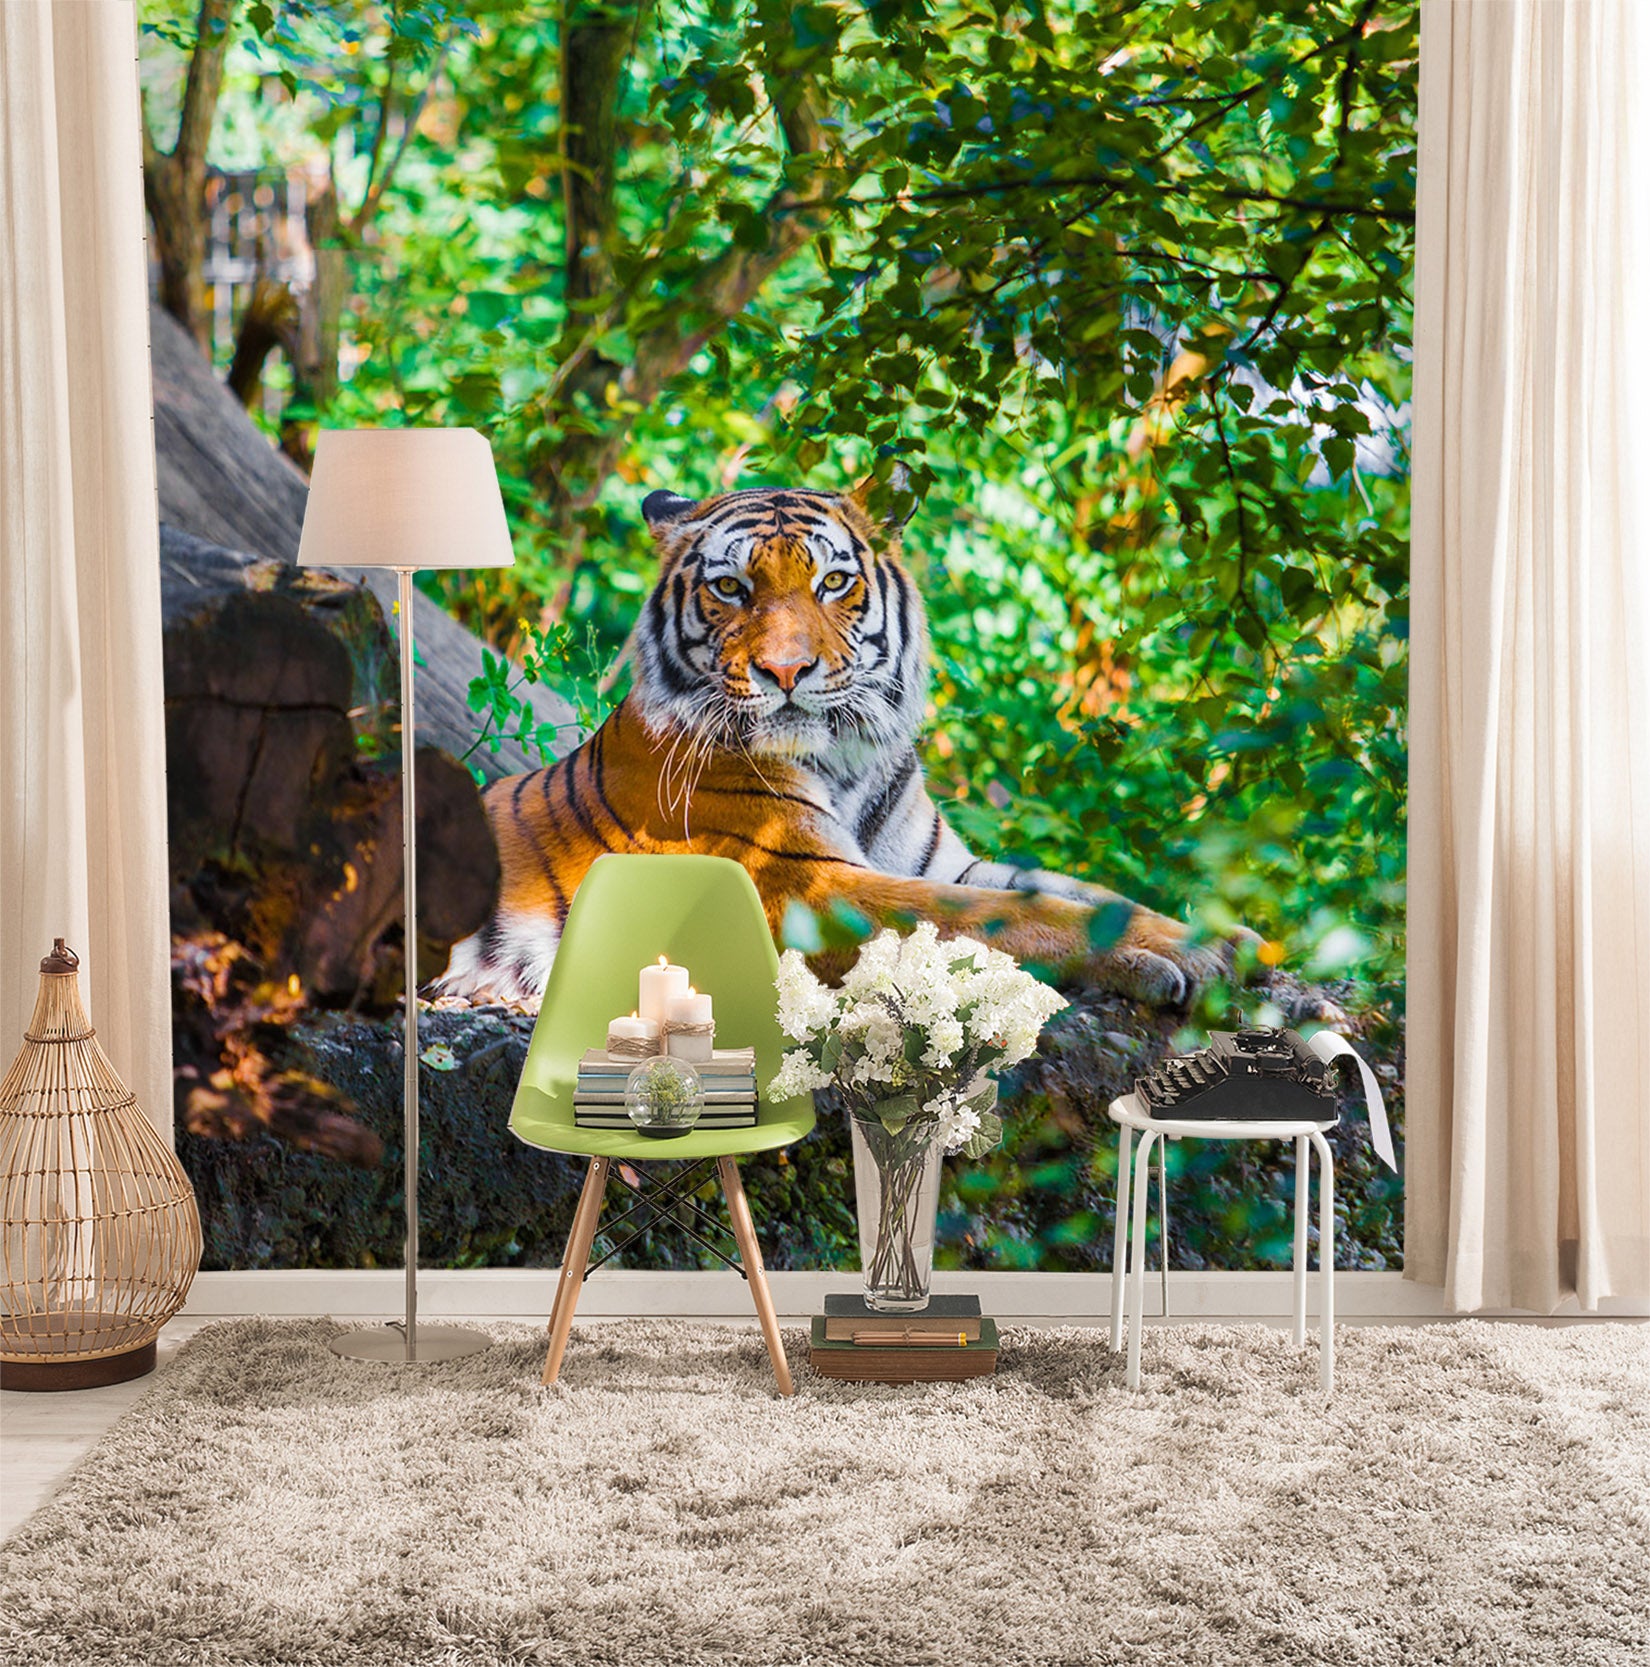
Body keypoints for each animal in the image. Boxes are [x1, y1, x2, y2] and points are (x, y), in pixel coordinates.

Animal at [436, 482, 1245, 1006]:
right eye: (730, 588)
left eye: (832, 582)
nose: (785, 670)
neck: (848, 760)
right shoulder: (808, 886)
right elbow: (995, 916)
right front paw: (1164, 959)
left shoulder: (941, 861)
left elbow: (1075, 891)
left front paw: (1224, 942)